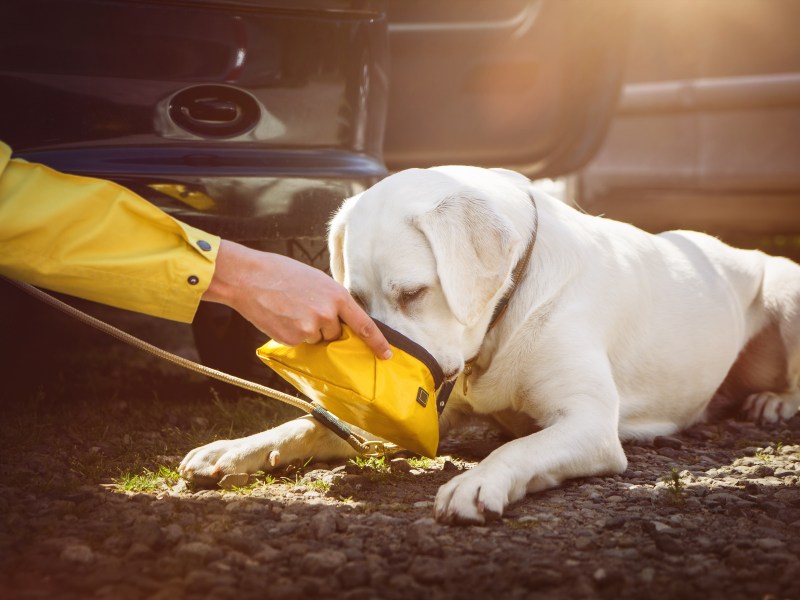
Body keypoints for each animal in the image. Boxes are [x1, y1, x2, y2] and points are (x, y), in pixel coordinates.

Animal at [181, 166, 800, 524]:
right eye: (354, 299)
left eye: (413, 293)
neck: (505, 315)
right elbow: (306, 425)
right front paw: (234, 448)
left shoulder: (588, 425)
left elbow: (519, 448)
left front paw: (476, 482)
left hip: (785, 290)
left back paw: (773, 402)